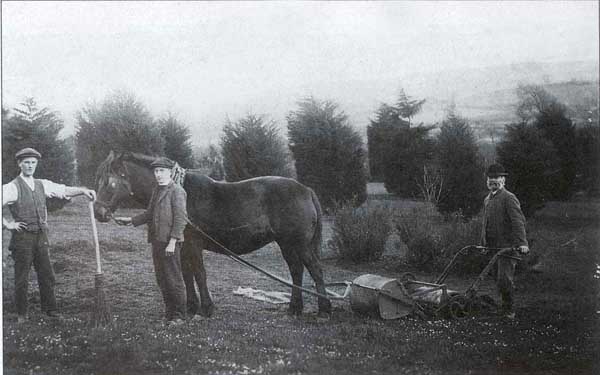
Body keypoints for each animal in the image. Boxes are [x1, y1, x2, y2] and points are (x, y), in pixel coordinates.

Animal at [92, 151, 332, 318]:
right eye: (99, 179)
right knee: (296, 271)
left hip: (300, 244)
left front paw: (206, 308)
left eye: (111, 182)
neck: (179, 192)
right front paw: (191, 306)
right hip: (287, 244)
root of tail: (305, 190)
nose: (98, 212)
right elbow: (187, 275)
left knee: (315, 270)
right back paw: (295, 308)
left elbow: (199, 274)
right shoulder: (182, 246)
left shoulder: (193, 245)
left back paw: (324, 310)